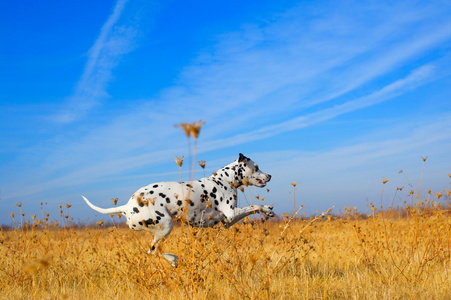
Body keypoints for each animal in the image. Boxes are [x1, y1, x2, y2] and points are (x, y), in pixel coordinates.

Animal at [82, 154, 276, 266]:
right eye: (256, 167)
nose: (269, 175)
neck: (225, 179)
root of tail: (127, 206)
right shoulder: (231, 215)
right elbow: (255, 206)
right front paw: (267, 210)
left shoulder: (226, 222)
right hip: (166, 225)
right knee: (153, 251)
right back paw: (173, 259)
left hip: (160, 230)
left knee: (155, 250)